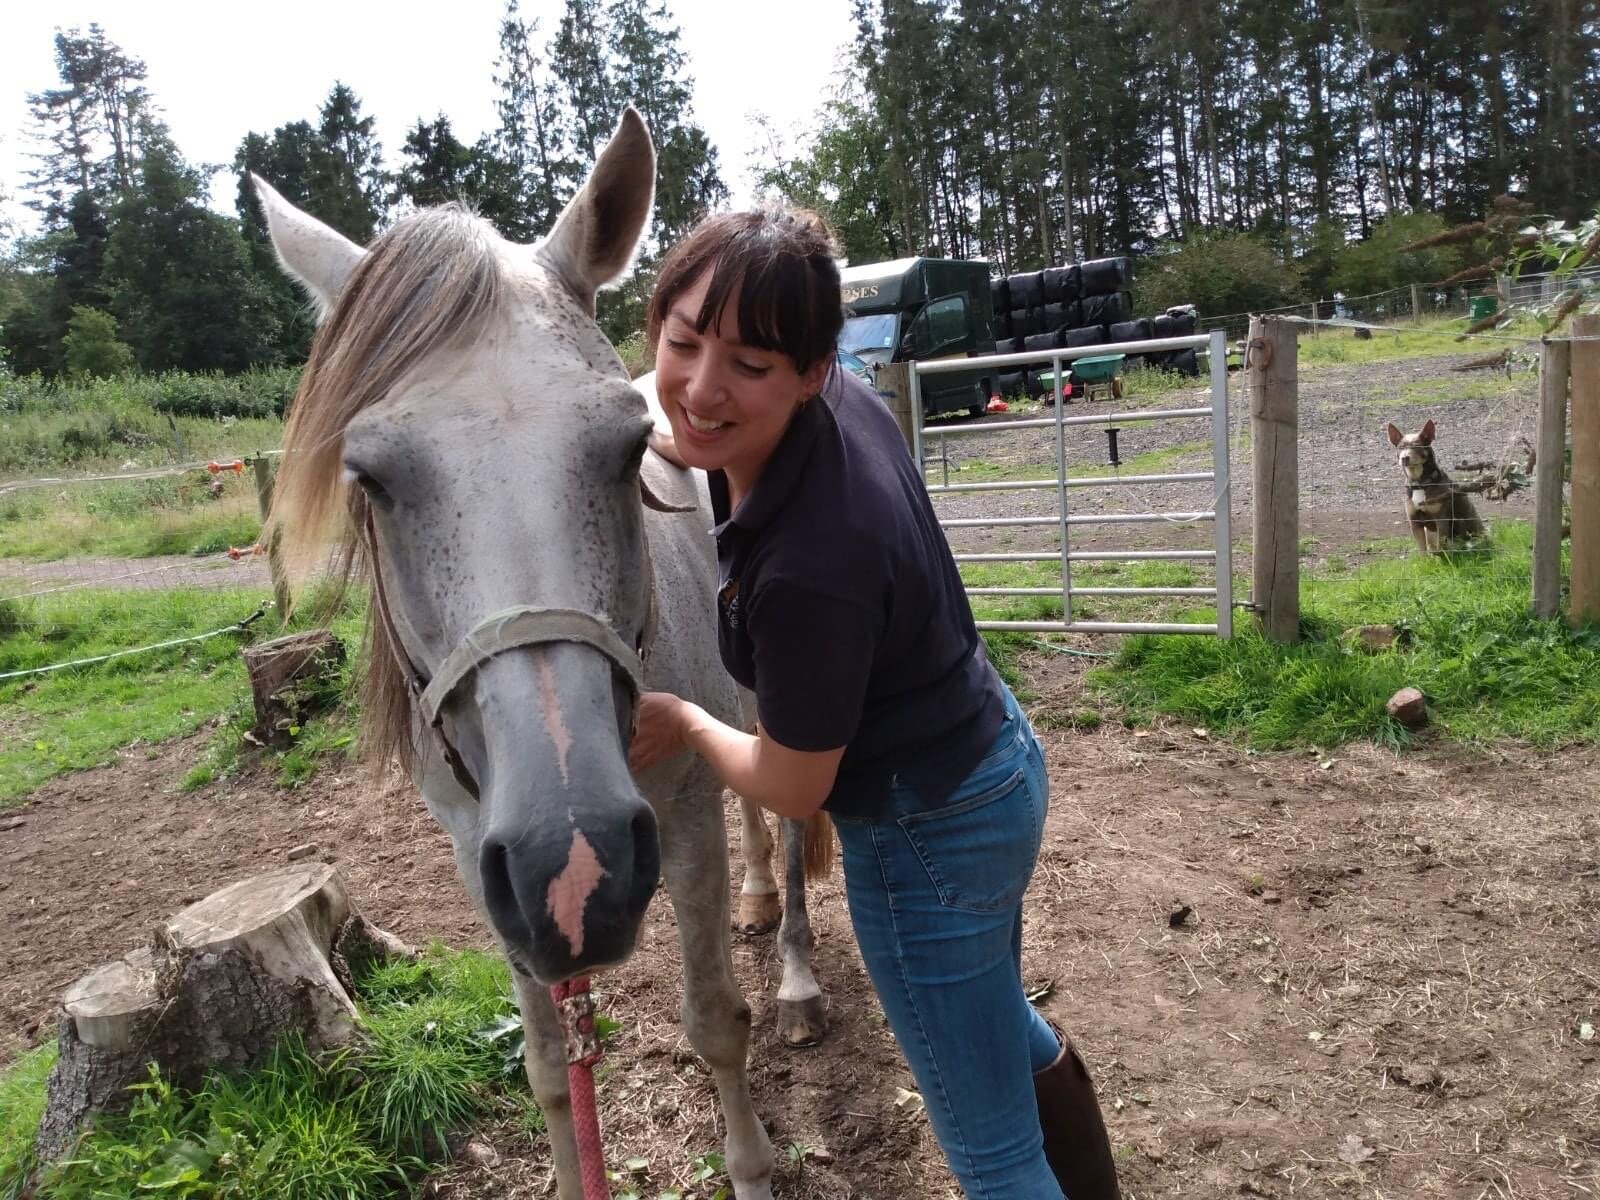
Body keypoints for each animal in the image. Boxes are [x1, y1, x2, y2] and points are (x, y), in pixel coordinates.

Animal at [252, 105, 825, 1200]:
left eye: (628, 444)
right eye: (369, 476)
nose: (575, 866)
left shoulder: (678, 817)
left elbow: (712, 1023)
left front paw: (749, 1164)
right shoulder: (486, 856)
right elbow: (550, 1068)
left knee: (782, 820)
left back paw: (799, 975)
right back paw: (757, 900)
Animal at [1388, 419, 1484, 553]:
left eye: (1417, 445)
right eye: (1400, 447)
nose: (1404, 458)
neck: (1420, 484)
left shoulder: (1441, 520)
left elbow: (1441, 548)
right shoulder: (1415, 522)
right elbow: (1423, 552)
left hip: (1462, 524)